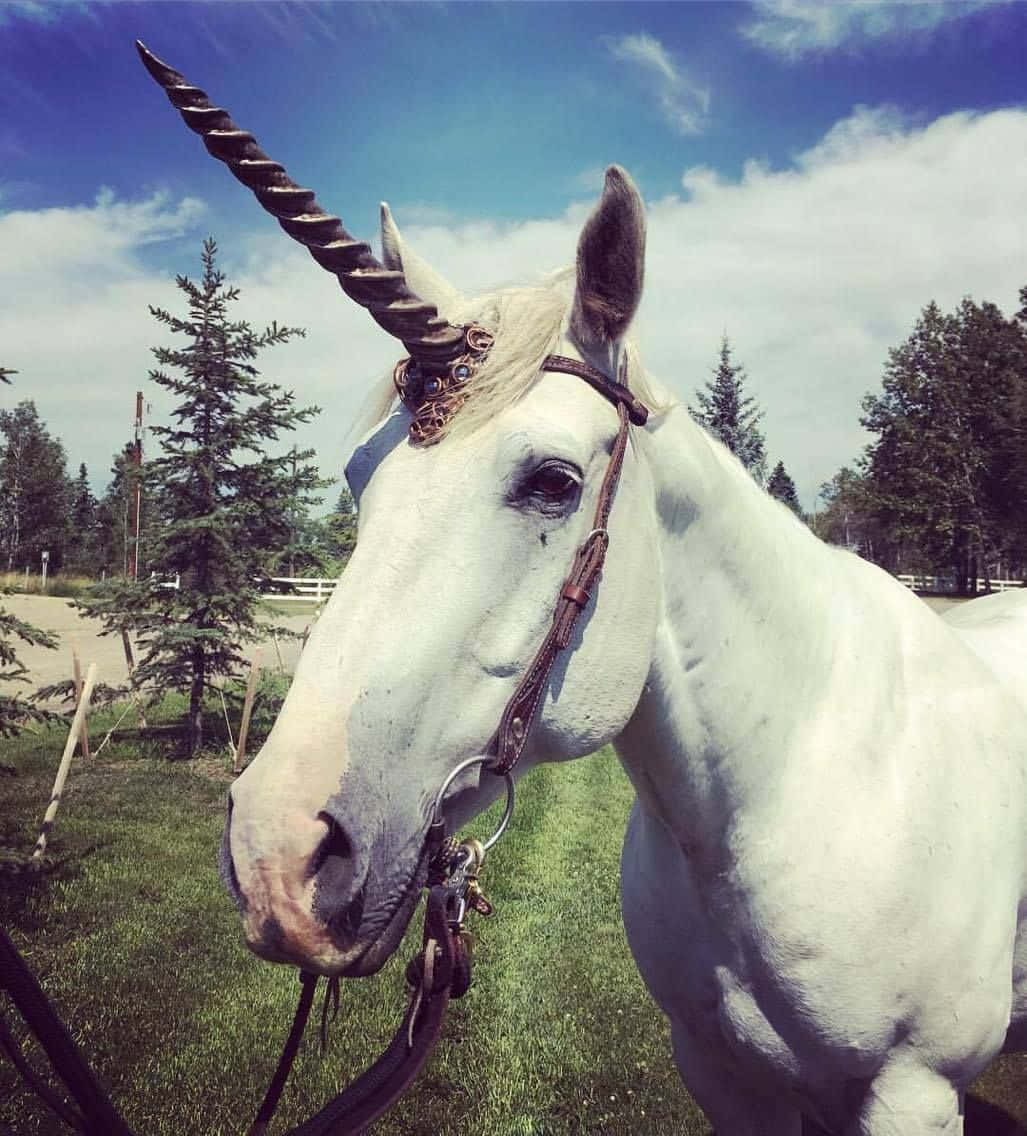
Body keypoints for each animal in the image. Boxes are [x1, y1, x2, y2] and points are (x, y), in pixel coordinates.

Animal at [139, 44, 1027, 1136]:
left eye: (553, 481)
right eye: (356, 479)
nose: (277, 857)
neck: (788, 784)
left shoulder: (914, 1091)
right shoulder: (719, 1072)